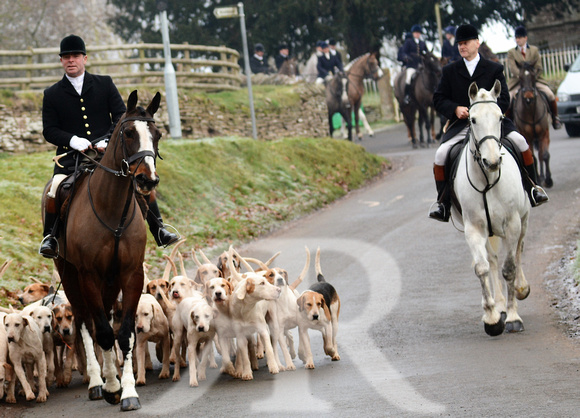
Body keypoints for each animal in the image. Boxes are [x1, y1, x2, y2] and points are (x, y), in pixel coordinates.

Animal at [42, 91, 162, 412]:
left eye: (157, 135)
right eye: (129, 132)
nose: (147, 181)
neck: (112, 208)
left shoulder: (131, 274)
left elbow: (124, 333)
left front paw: (128, 391)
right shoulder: (88, 275)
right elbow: (103, 332)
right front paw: (110, 387)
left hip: (109, 281)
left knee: (103, 319)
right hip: (70, 274)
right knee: (86, 323)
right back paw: (98, 382)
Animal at [454, 81, 532, 336]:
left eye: (500, 117)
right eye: (472, 119)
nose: (492, 162)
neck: (487, 179)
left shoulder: (513, 223)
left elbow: (509, 268)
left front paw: (513, 317)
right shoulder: (474, 229)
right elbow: (482, 268)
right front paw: (492, 317)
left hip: (522, 221)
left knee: (518, 250)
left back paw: (521, 289)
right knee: (493, 259)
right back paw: (499, 304)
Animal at [516, 60, 552, 188]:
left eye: (533, 76)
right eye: (520, 77)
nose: (528, 97)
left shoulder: (544, 133)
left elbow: (544, 155)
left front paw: (548, 179)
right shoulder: (528, 137)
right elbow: (533, 157)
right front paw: (540, 179)